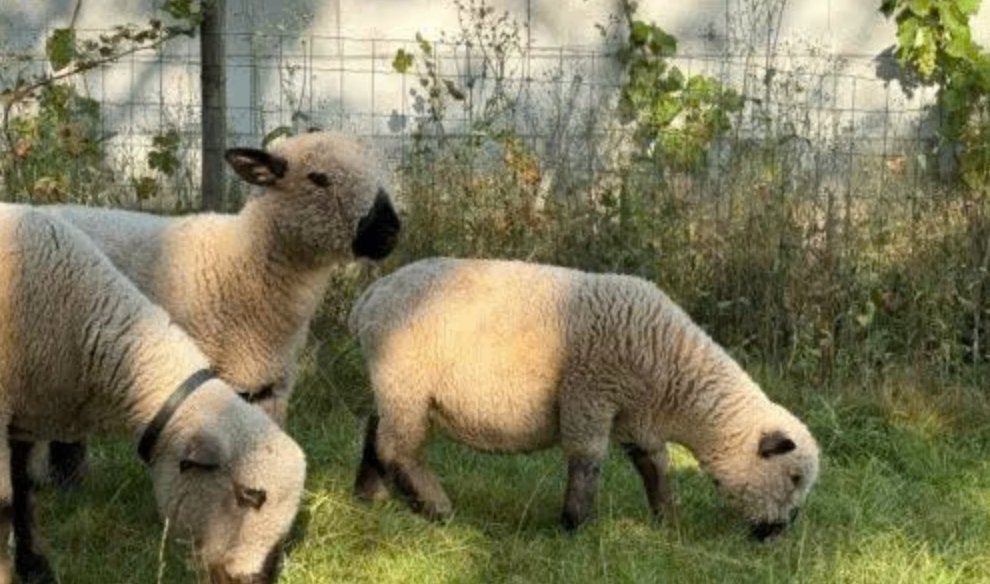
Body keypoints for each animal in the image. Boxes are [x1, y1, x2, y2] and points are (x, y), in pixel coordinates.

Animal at [0, 203, 307, 583]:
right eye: (248, 496)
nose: (255, 579)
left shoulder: (26, 416)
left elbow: (22, 493)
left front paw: (35, 568)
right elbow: (6, 503)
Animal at [348, 258, 820, 539]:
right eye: (794, 477)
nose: (779, 533)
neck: (673, 377)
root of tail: (370, 297)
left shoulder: (634, 416)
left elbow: (654, 465)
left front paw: (668, 521)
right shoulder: (590, 392)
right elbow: (587, 459)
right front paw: (575, 525)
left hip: (392, 383)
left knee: (375, 432)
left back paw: (370, 496)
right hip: (406, 379)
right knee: (400, 449)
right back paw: (437, 509)